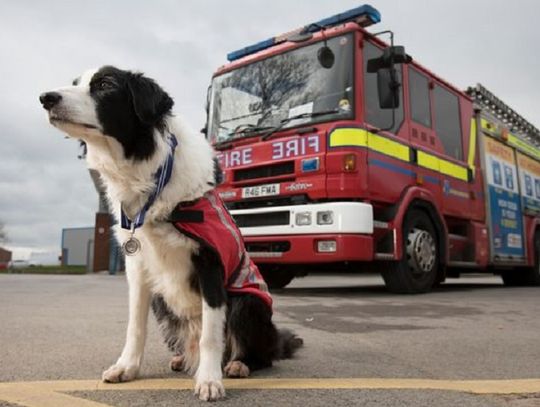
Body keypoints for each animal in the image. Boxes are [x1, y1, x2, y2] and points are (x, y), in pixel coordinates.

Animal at [40, 66, 302, 402]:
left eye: (105, 85)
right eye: (75, 84)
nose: (46, 98)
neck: (145, 174)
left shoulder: (210, 263)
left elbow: (211, 336)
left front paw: (209, 380)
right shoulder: (137, 266)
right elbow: (135, 326)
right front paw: (127, 367)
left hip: (248, 301)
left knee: (260, 353)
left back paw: (238, 364)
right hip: (162, 303)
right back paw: (182, 359)